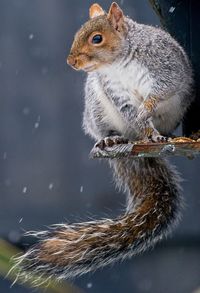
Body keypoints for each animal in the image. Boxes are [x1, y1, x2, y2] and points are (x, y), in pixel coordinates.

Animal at [12, 1, 194, 284]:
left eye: (97, 39)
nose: (71, 61)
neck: (119, 63)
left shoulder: (164, 68)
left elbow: (161, 91)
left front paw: (149, 120)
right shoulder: (114, 90)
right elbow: (130, 111)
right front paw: (143, 126)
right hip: (96, 106)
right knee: (108, 129)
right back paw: (113, 137)